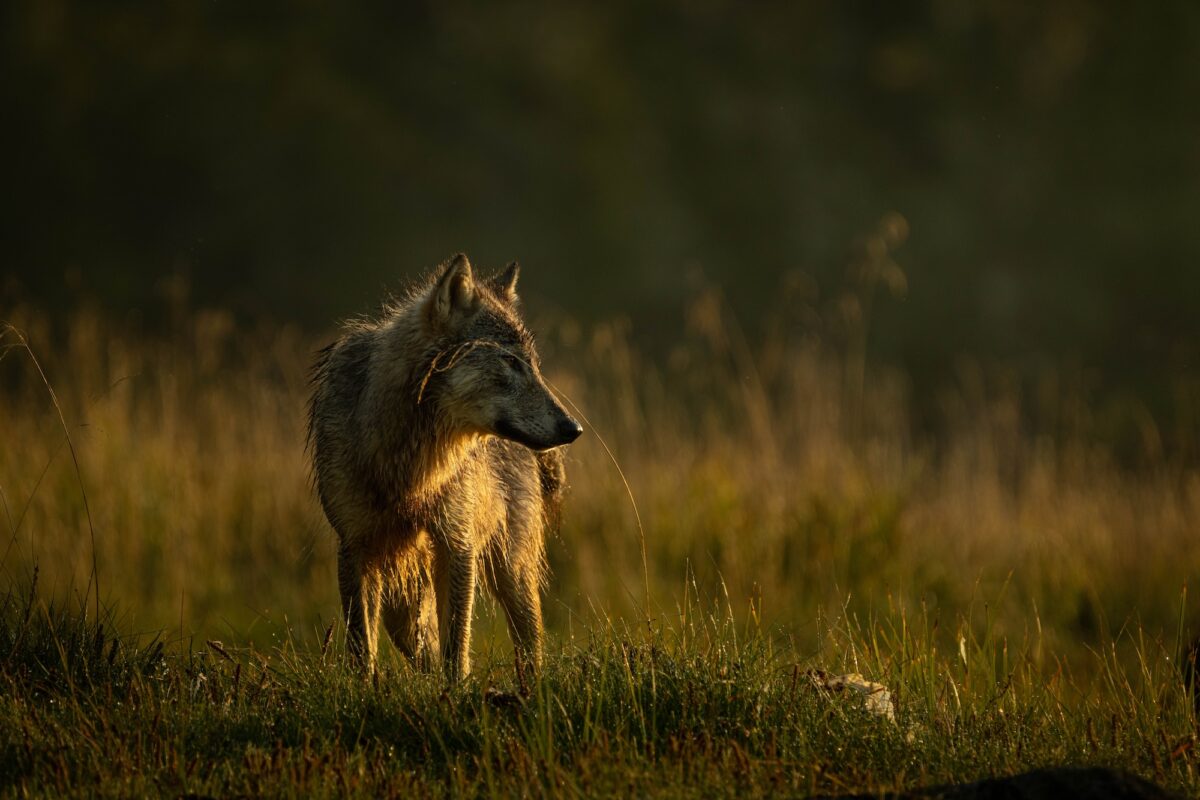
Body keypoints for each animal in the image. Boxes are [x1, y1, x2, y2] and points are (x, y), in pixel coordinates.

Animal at [307, 254, 582, 680]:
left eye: (534, 366)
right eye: (510, 362)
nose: (573, 428)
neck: (409, 467)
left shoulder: (457, 544)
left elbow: (457, 647)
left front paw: (457, 691)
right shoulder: (354, 546)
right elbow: (362, 649)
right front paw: (363, 691)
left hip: (511, 571)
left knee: (530, 644)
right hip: (402, 608)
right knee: (425, 649)